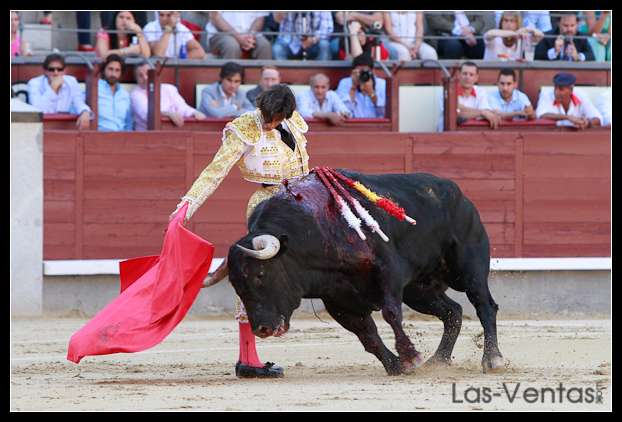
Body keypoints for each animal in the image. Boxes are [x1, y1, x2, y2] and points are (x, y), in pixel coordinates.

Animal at [227, 170, 504, 374]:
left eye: (260, 275)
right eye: (236, 287)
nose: (262, 329)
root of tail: (458, 194)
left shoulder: (389, 271)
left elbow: (391, 314)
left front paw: (409, 356)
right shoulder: (338, 301)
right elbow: (367, 336)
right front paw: (396, 366)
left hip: (469, 268)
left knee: (484, 305)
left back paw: (493, 359)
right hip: (418, 291)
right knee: (452, 312)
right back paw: (439, 360)